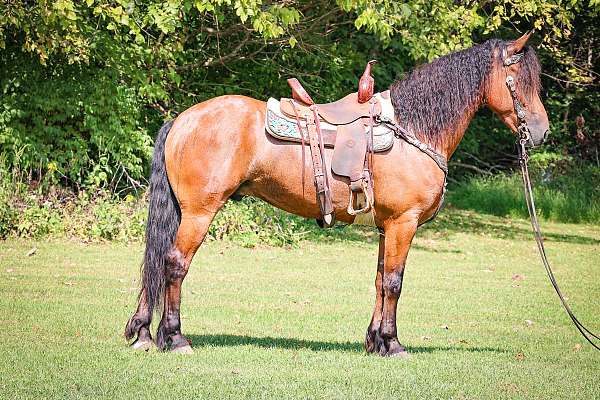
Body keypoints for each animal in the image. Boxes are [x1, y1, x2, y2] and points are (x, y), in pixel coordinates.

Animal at [125, 32, 548, 356]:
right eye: (518, 80)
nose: (541, 132)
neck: (413, 130)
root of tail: (183, 119)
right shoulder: (404, 223)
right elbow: (394, 282)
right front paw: (393, 344)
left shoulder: (387, 226)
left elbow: (380, 280)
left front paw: (375, 342)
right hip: (199, 212)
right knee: (174, 264)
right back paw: (175, 337)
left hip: (183, 212)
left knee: (157, 261)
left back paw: (144, 334)